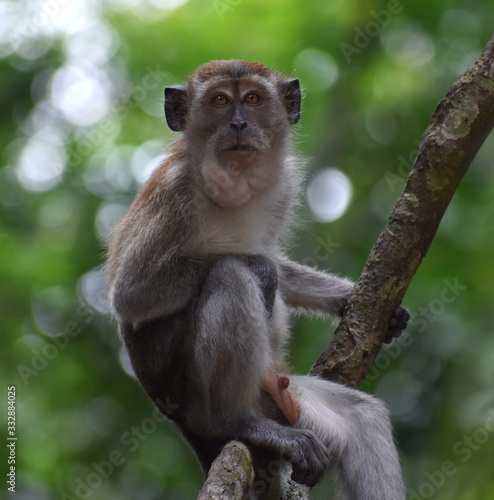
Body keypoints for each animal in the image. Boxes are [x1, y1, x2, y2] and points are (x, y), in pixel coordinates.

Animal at [105, 60, 410, 498]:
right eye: (219, 101)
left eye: (252, 98)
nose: (238, 124)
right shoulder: (175, 195)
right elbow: (132, 295)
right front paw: (263, 271)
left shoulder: (281, 189)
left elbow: (276, 262)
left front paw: (346, 298)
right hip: (192, 394)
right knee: (231, 275)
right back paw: (237, 421)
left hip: (281, 392)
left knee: (363, 416)